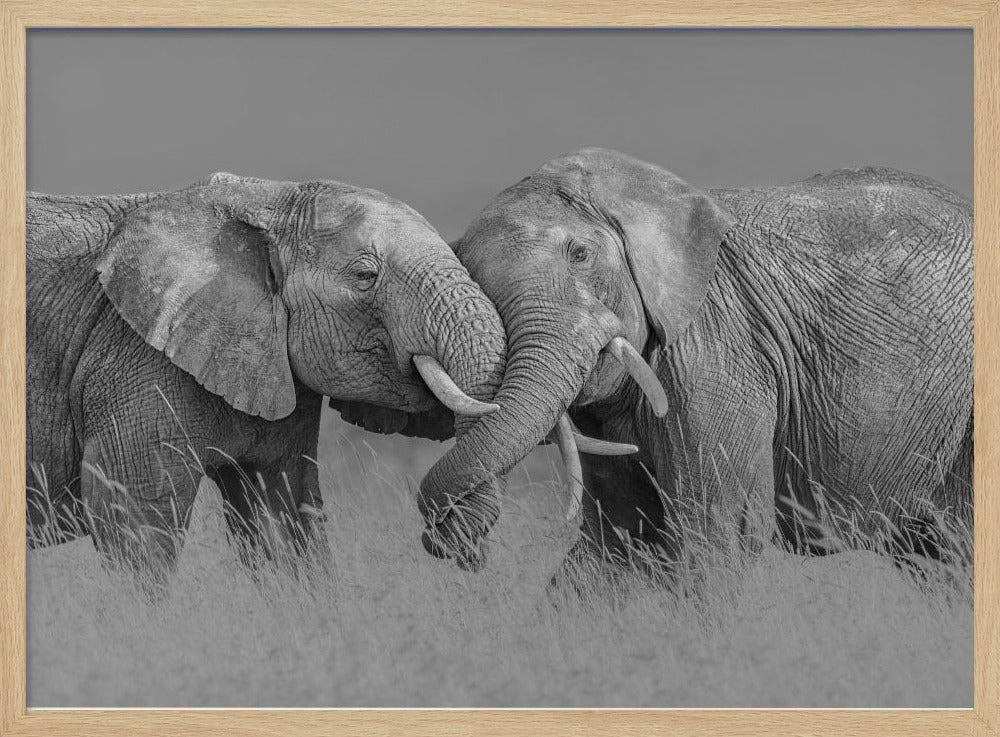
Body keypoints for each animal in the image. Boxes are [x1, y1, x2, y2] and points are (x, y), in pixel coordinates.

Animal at [26, 172, 507, 589]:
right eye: (365, 276)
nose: (456, 548)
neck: (267, 200)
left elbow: (281, 517)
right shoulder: (137, 358)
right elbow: (132, 515)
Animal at [417, 147, 973, 579]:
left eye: (579, 255)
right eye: (471, 278)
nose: (465, 549)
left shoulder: (717, 348)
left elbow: (715, 536)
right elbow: (616, 541)